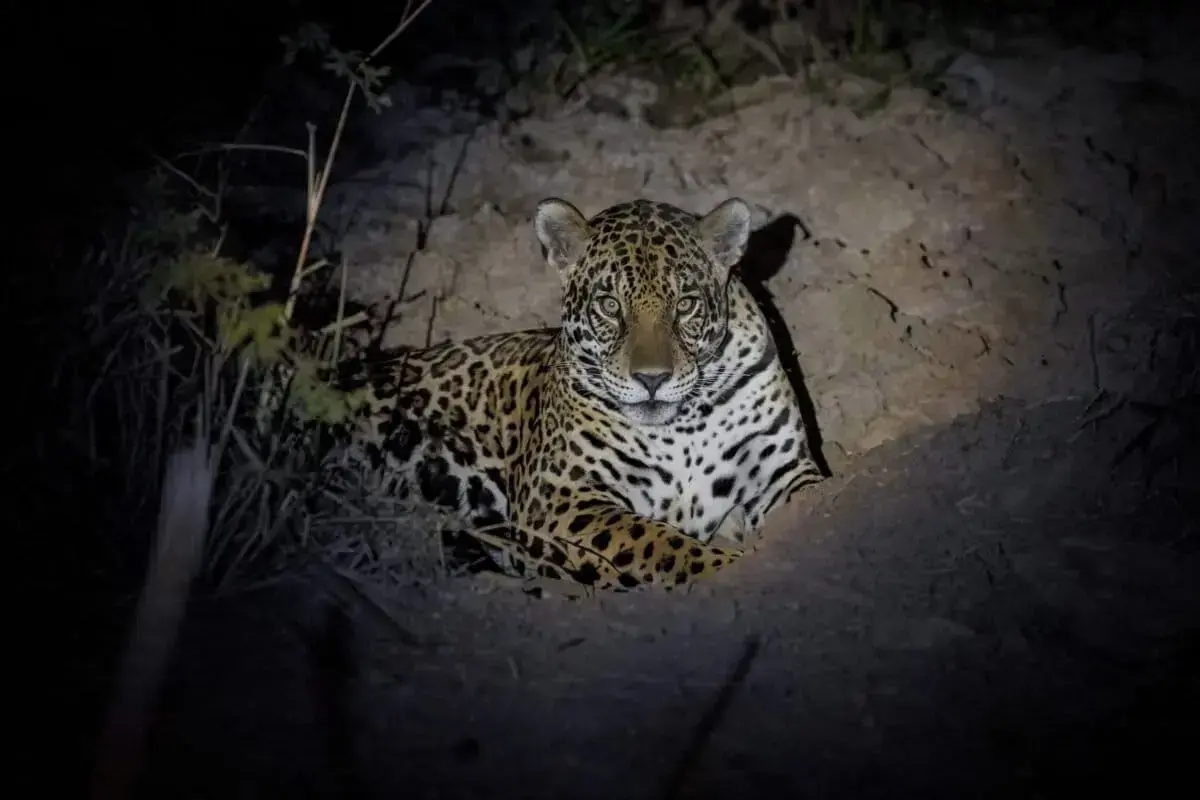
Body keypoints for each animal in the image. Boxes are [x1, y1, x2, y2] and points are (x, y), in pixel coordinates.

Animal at [341, 196, 824, 590]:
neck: (684, 425)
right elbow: (658, 543)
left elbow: (814, 501)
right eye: (609, 306)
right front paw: (726, 565)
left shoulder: (781, 471)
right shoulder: (561, 498)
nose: (652, 379)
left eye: (685, 305)